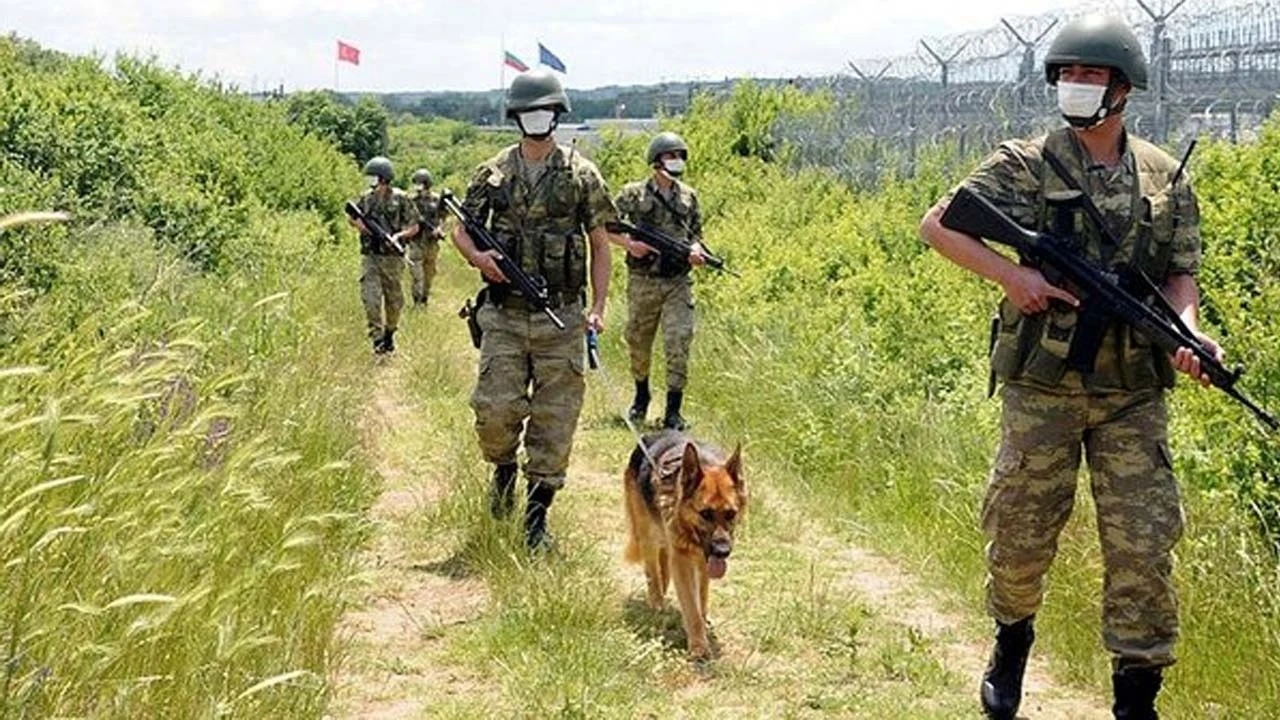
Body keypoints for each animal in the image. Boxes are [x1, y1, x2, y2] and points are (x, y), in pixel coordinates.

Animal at [622, 427, 747, 661]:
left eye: (731, 514)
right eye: (705, 514)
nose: (723, 551)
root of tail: (649, 435)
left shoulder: (702, 562)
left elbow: (701, 598)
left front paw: (702, 624)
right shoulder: (682, 560)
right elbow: (690, 605)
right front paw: (698, 645)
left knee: (664, 571)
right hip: (648, 535)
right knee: (653, 573)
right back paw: (657, 604)